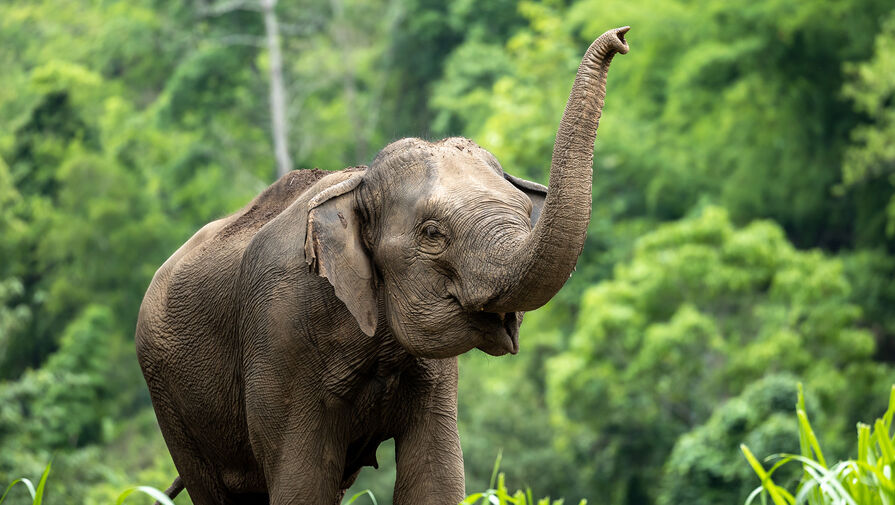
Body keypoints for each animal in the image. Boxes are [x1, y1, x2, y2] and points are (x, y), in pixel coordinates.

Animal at [136, 26, 632, 504]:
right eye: (431, 234)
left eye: (525, 211)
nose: (622, 37)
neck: (358, 182)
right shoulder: (279, 334)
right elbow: (301, 484)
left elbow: (435, 479)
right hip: (169, 396)